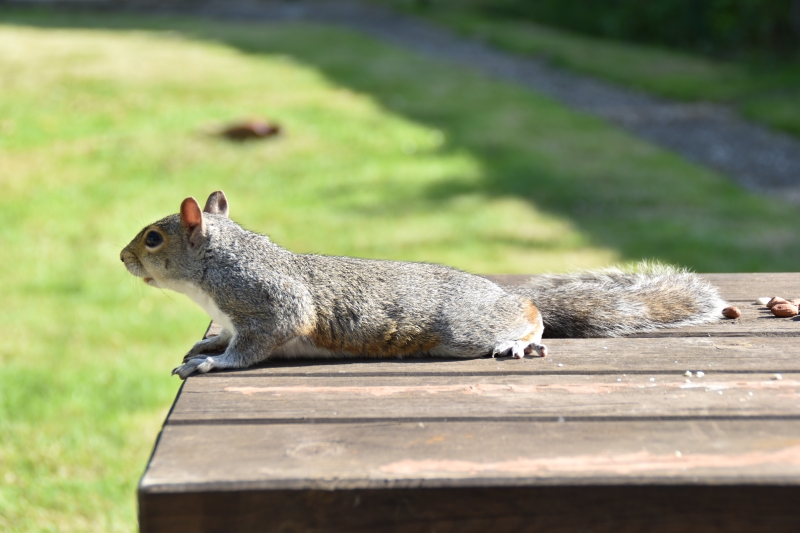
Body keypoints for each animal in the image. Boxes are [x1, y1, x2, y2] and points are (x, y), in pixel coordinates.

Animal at [122, 191, 728, 378]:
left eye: (153, 238)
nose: (124, 256)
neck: (217, 269)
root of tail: (505, 294)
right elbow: (226, 334)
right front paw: (206, 342)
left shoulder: (269, 306)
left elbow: (252, 345)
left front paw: (211, 362)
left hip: (465, 329)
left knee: (530, 317)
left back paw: (521, 340)